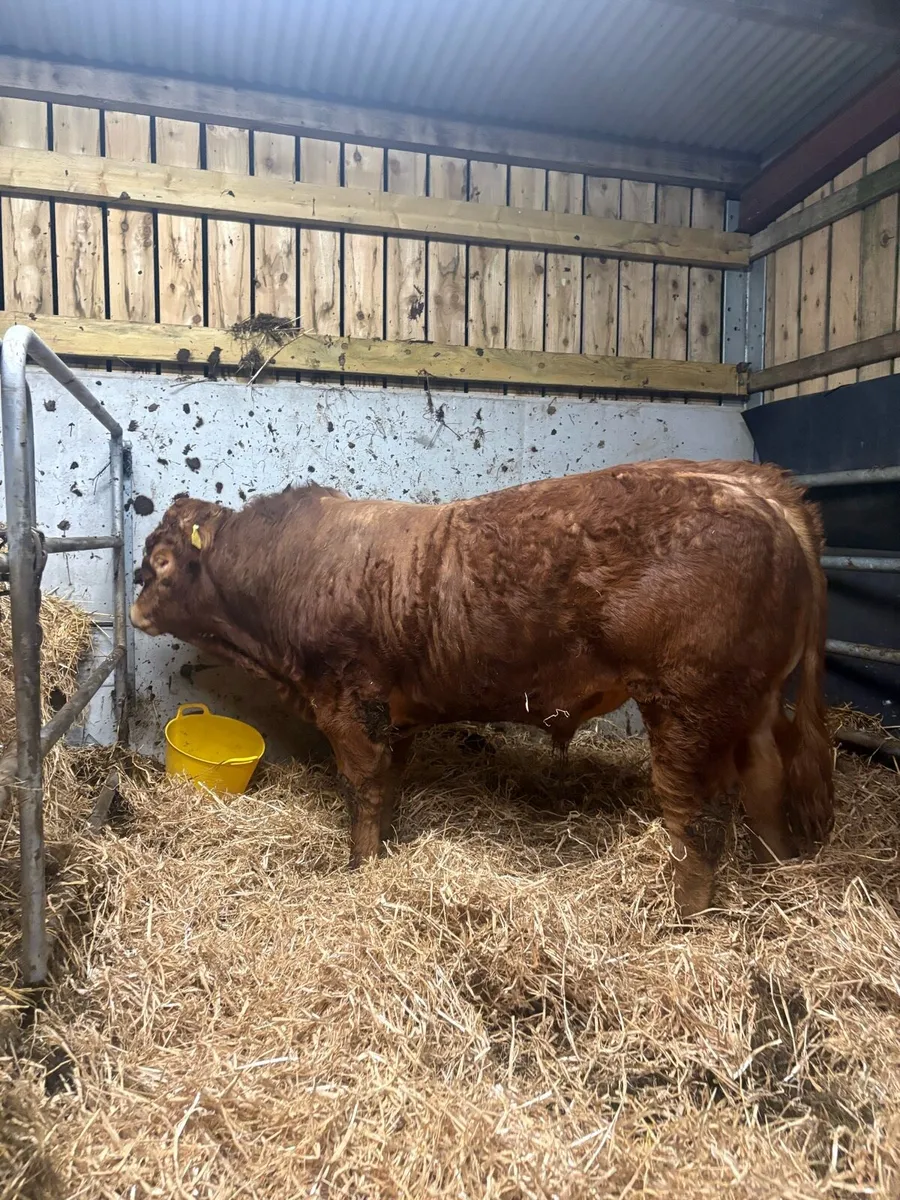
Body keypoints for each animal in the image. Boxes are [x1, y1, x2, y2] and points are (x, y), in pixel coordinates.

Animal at [130, 459, 834, 917]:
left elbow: (362, 788)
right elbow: (387, 789)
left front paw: (359, 869)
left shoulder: (348, 701)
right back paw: (781, 875)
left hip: (690, 707)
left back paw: (681, 919)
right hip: (753, 706)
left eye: (161, 563)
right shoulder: (393, 715)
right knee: (766, 783)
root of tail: (752, 489)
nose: (134, 608)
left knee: (698, 819)